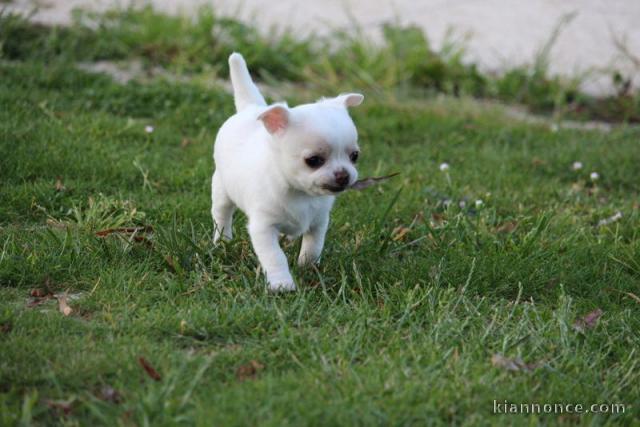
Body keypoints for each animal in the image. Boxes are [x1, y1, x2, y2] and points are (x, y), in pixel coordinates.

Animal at [212, 52, 362, 290]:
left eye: (354, 156)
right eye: (314, 161)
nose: (344, 175)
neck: (301, 194)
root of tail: (250, 108)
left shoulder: (318, 222)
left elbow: (313, 247)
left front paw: (308, 268)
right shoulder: (263, 228)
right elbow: (275, 256)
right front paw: (282, 284)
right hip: (221, 190)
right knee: (221, 216)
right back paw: (222, 241)